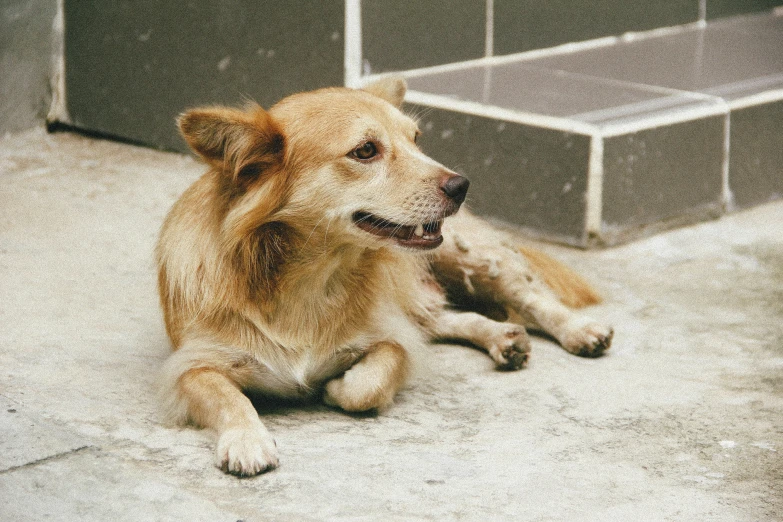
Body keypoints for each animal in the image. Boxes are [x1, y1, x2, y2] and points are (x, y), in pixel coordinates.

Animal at [156, 78, 616, 476]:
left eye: (416, 139)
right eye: (365, 150)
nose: (462, 185)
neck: (308, 278)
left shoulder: (391, 338)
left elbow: (369, 384)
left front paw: (336, 388)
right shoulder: (191, 366)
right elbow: (227, 397)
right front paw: (247, 439)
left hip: (468, 257)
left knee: (530, 297)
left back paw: (578, 330)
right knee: (444, 318)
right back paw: (502, 337)